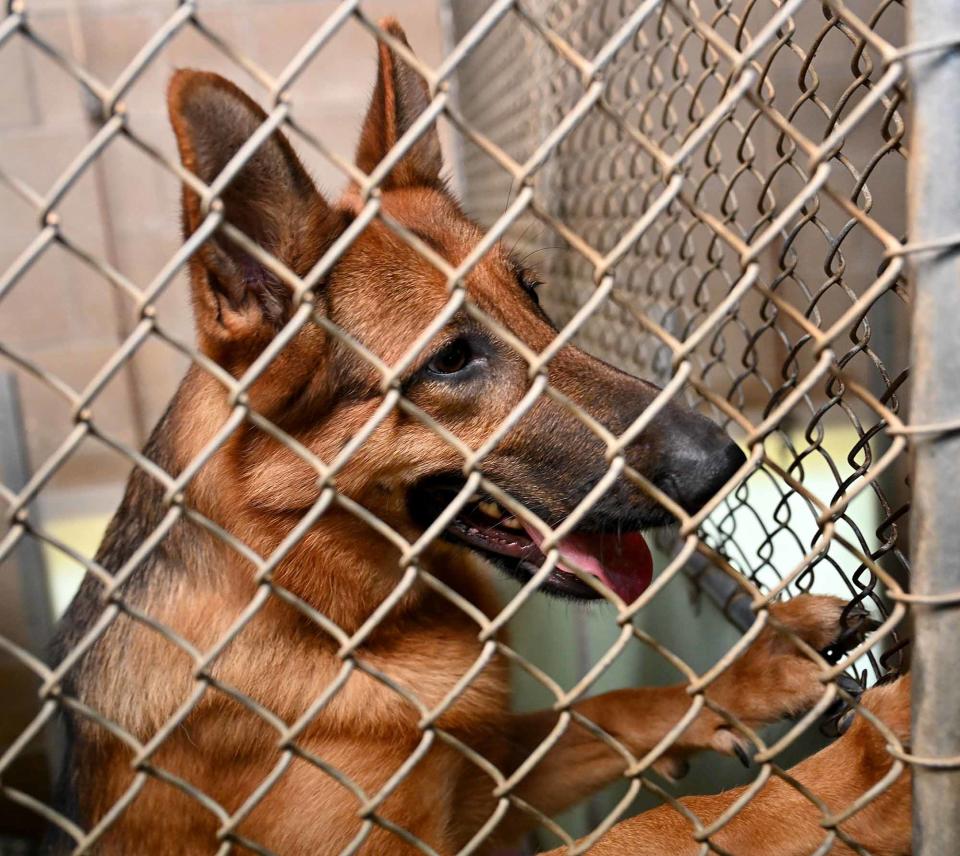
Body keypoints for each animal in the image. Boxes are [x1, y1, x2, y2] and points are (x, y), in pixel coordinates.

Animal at [50, 16, 908, 852]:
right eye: (453, 359)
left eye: (532, 295)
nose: (726, 462)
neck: (321, 610)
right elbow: (673, 821)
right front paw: (873, 763)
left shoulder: (491, 779)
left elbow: (608, 709)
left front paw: (753, 670)